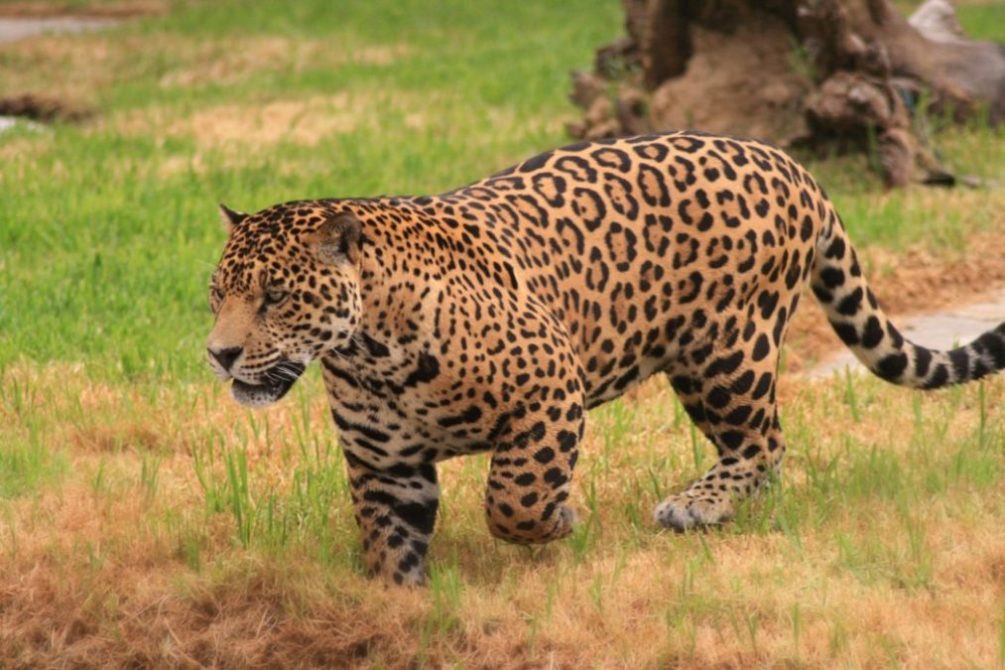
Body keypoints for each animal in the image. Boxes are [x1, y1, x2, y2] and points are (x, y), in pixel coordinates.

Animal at [206, 130, 1005, 585]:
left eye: (275, 296)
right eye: (217, 294)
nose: (218, 354)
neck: (369, 350)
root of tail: (789, 162)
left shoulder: (549, 389)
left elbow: (513, 499)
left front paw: (561, 520)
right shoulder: (385, 466)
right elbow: (389, 551)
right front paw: (402, 612)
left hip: (722, 352)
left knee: (764, 442)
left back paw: (697, 505)